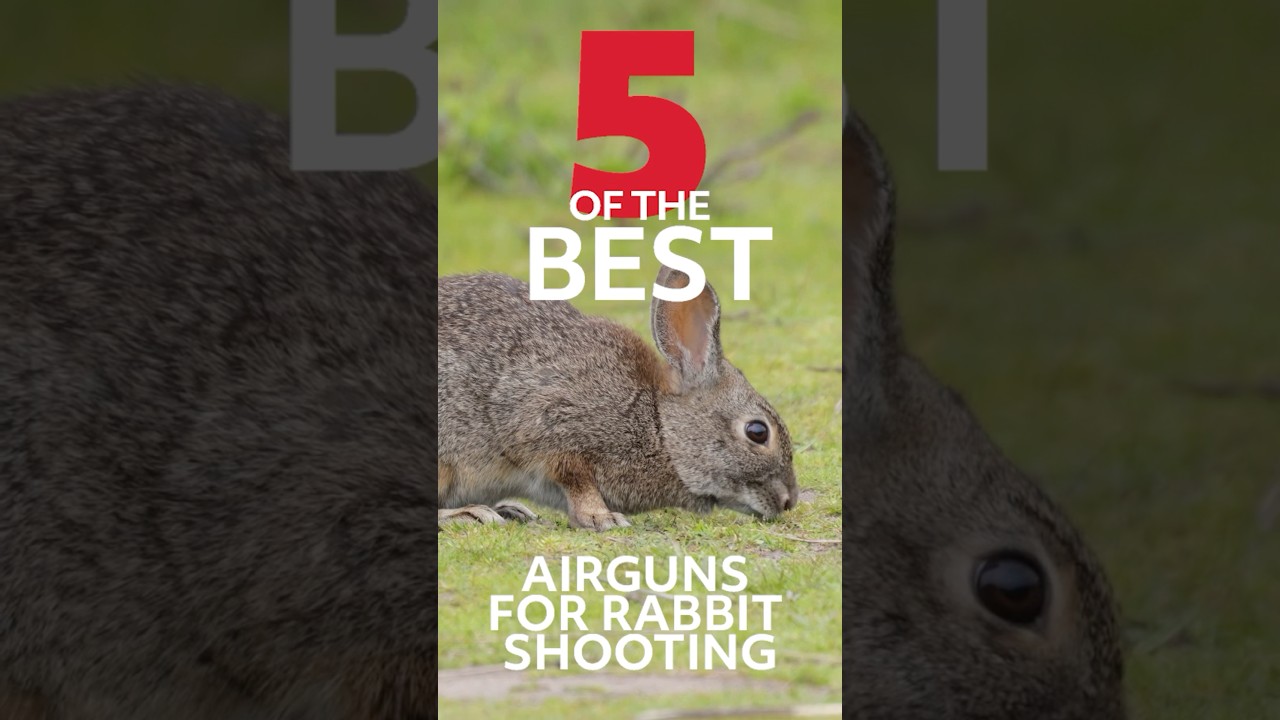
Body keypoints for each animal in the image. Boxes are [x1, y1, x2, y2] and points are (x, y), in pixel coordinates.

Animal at [437, 268, 798, 531]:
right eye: (757, 432)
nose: (789, 501)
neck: (658, 424)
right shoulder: (550, 427)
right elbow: (576, 479)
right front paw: (601, 517)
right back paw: (470, 513)